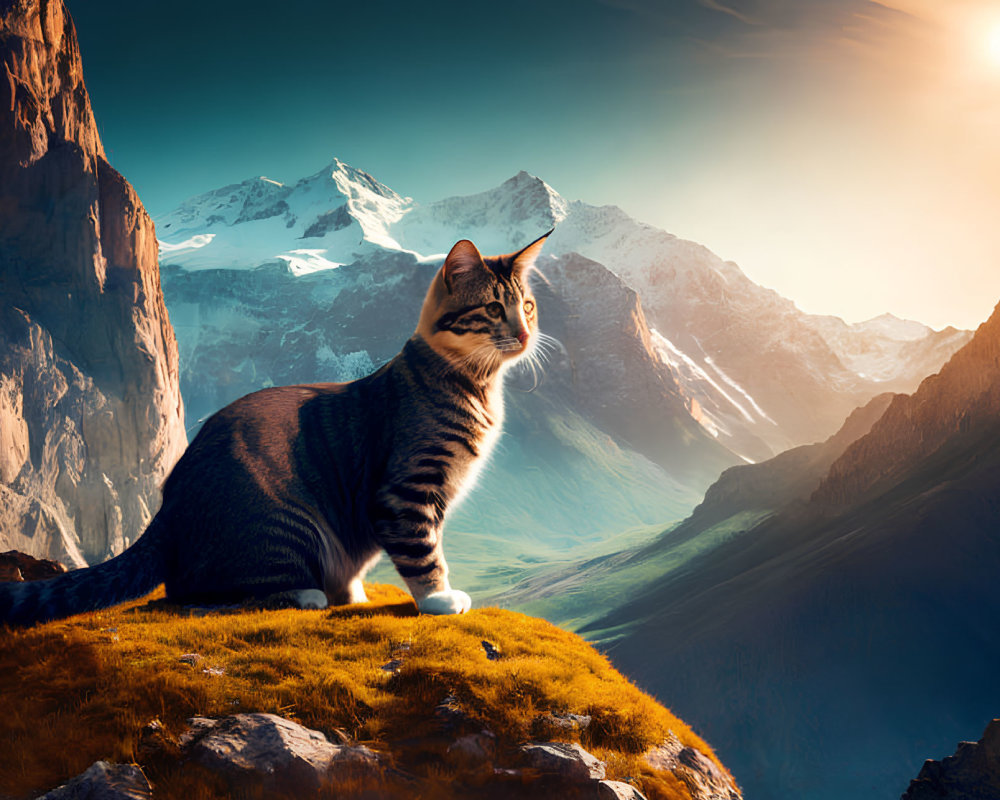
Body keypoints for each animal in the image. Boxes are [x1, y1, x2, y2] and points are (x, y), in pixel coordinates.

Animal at [0, 231, 552, 624]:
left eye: (527, 305)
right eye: (493, 308)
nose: (527, 333)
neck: (476, 384)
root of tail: (167, 512)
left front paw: (358, 593)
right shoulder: (405, 491)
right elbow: (423, 550)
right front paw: (438, 599)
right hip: (285, 522)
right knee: (196, 590)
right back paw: (306, 593)